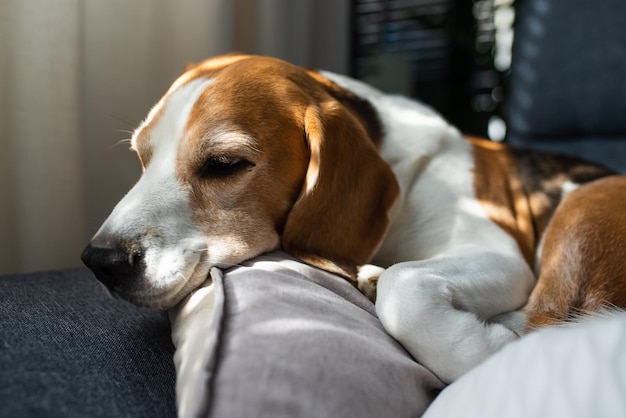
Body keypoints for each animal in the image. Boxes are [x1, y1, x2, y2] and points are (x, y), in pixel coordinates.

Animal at [81, 54, 624, 384]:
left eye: (224, 164)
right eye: (141, 157)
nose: (100, 261)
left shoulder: (497, 252)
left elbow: (406, 288)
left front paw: (481, 354)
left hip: (586, 200)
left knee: (547, 319)